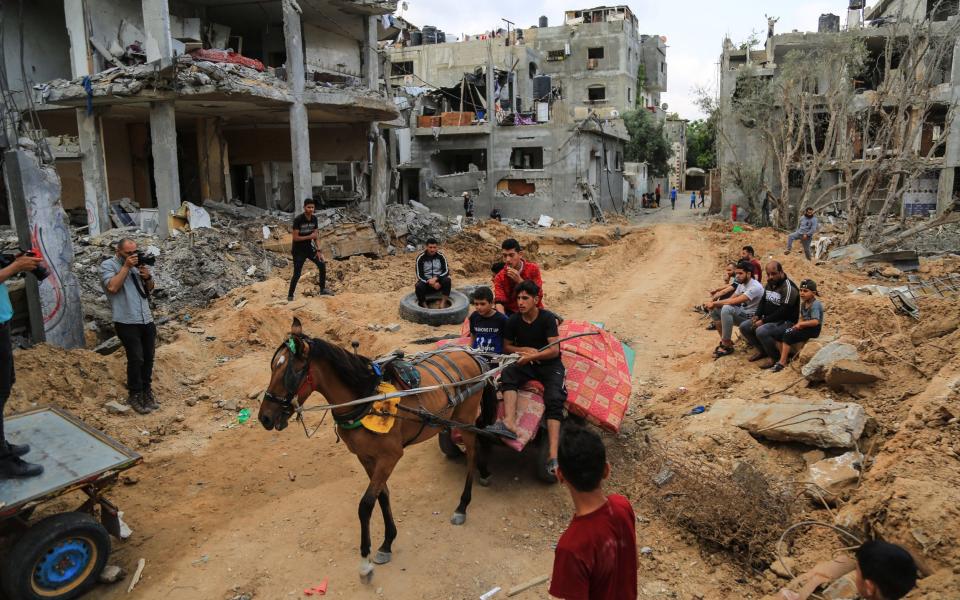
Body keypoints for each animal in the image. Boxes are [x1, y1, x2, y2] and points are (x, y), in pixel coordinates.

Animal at [258, 318, 492, 580]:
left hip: (465, 417)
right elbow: (382, 495)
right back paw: (484, 472)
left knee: (472, 451)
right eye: (272, 368)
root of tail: (471, 354)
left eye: (291, 373)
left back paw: (463, 504)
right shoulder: (366, 457)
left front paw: (365, 560)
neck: (366, 400)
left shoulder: (390, 456)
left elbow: (365, 505)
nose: (264, 417)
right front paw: (387, 543)